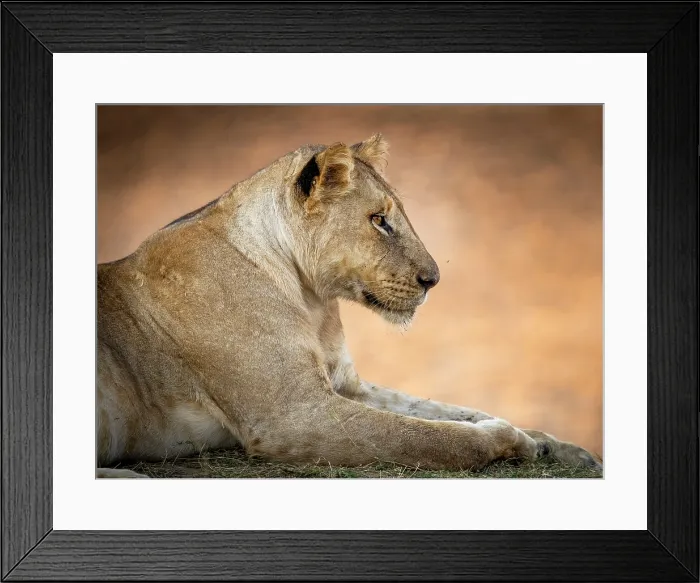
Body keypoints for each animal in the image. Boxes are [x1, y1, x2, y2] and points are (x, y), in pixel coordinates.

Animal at [96, 134, 602, 478]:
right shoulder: (292, 416)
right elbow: (432, 437)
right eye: (379, 220)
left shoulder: (347, 387)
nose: (434, 280)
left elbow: (443, 411)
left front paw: (556, 446)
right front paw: (509, 438)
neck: (310, 299)